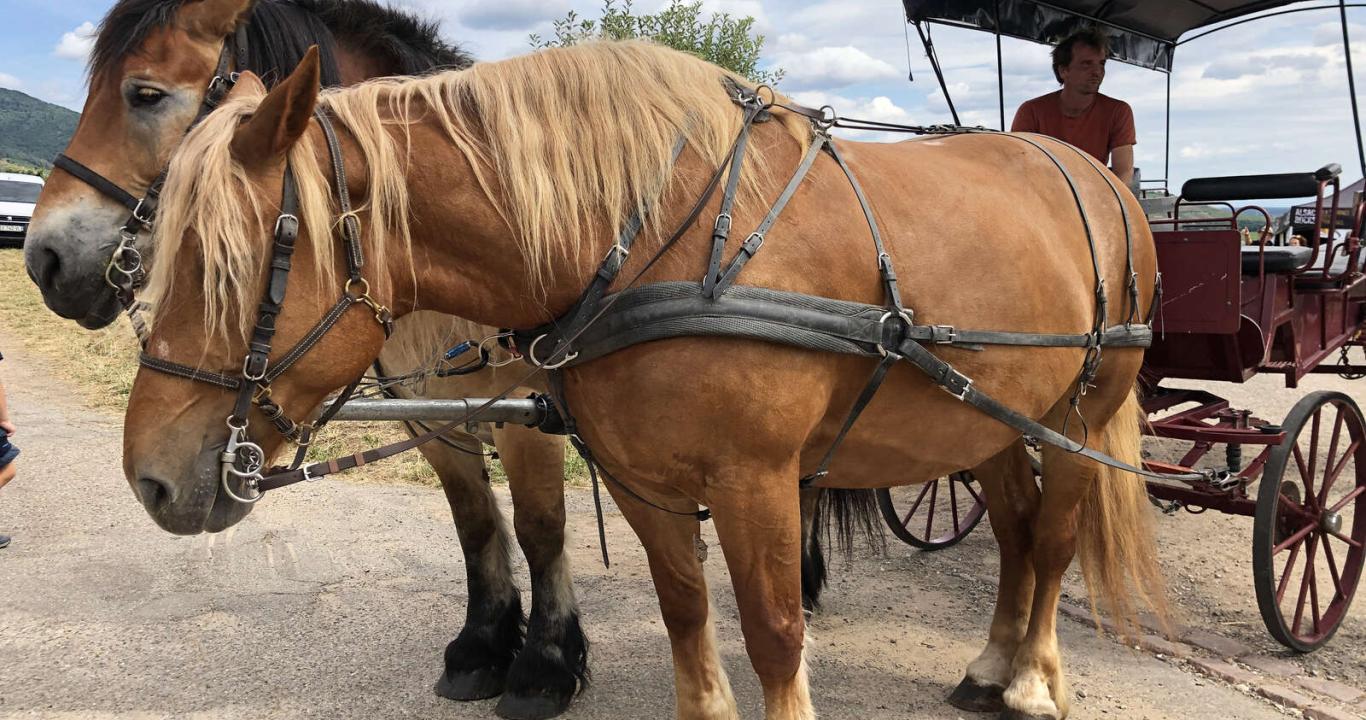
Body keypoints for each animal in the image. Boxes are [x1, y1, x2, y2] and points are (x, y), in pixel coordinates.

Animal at [22, 2, 587, 715]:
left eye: (144, 94)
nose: (44, 259)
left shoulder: (525, 414)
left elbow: (541, 528)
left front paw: (546, 664)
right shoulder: (431, 418)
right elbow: (476, 522)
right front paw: (481, 648)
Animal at [130, 45, 1163, 720]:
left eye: (226, 265)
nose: (150, 480)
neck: (653, 234)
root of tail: (1092, 174)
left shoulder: (755, 483)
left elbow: (775, 635)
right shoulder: (642, 482)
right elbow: (685, 615)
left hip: (1084, 412)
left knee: (1056, 540)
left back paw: (1030, 679)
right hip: (985, 424)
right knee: (1019, 532)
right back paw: (990, 665)